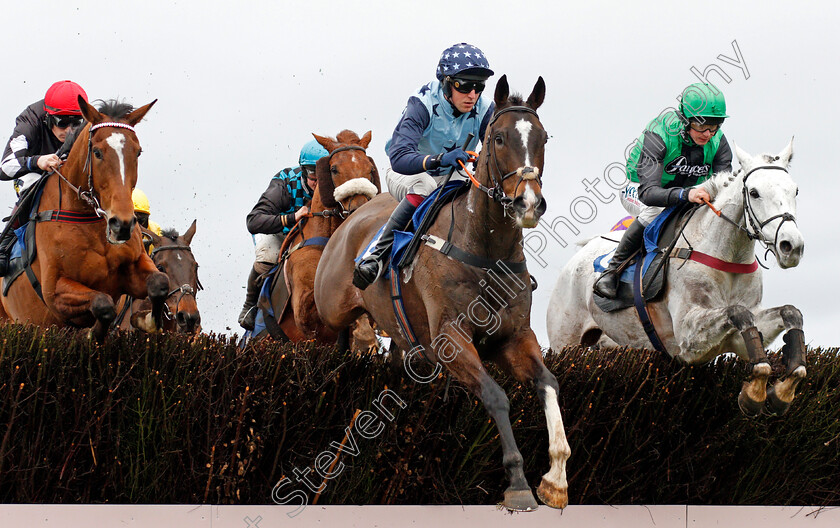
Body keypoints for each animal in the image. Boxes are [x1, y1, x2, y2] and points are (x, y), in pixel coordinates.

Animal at [0, 96, 169, 340]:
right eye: (97, 152)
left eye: (138, 152)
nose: (122, 224)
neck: (91, 221)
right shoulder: (54, 292)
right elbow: (102, 303)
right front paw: (92, 334)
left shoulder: (135, 265)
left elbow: (160, 283)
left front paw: (146, 320)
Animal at [316, 76, 572, 510]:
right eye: (499, 138)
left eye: (543, 138)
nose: (528, 202)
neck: (486, 249)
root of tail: (351, 218)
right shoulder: (450, 338)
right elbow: (496, 396)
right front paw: (518, 483)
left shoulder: (514, 337)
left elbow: (549, 384)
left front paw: (555, 478)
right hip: (330, 309)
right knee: (323, 336)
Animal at [544, 139, 808, 416]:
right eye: (754, 193)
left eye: (795, 190)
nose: (791, 246)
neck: (727, 255)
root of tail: (579, 255)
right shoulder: (688, 336)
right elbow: (738, 313)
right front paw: (755, 393)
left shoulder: (739, 333)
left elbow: (790, 313)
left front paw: (781, 391)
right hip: (564, 342)